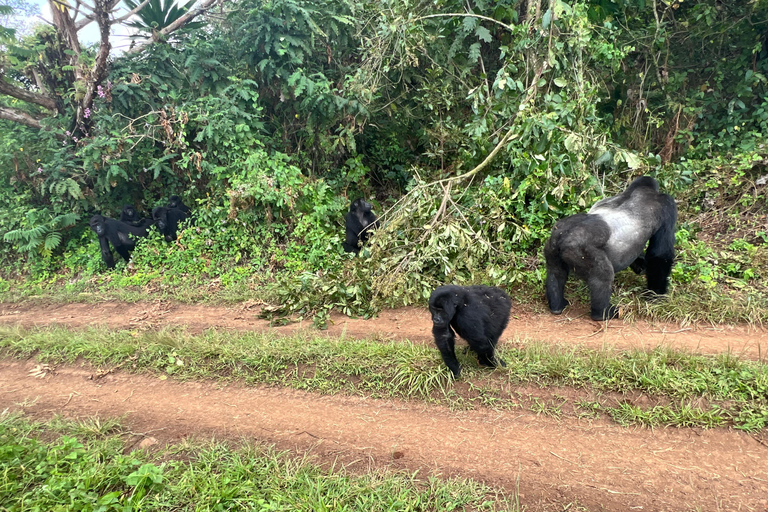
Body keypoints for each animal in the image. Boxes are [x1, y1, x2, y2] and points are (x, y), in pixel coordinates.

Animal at [544, 176, 676, 320]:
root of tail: (564, 236)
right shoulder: (667, 204)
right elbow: (660, 255)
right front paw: (656, 296)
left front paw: (640, 265)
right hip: (579, 250)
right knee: (603, 275)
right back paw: (603, 313)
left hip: (552, 245)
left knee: (556, 272)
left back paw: (557, 305)